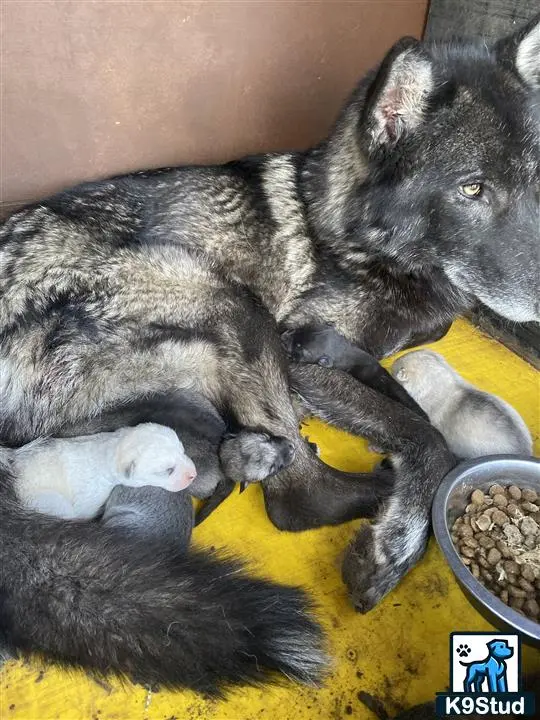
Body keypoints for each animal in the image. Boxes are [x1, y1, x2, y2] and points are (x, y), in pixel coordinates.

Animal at [0, 14, 538, 688]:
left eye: (535, 180)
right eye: (472, 188)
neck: (346, 231)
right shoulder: (305, 354)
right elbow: (423, 435)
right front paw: (397, 541)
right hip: (226, 300)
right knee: (297, 500)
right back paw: (375, 498)